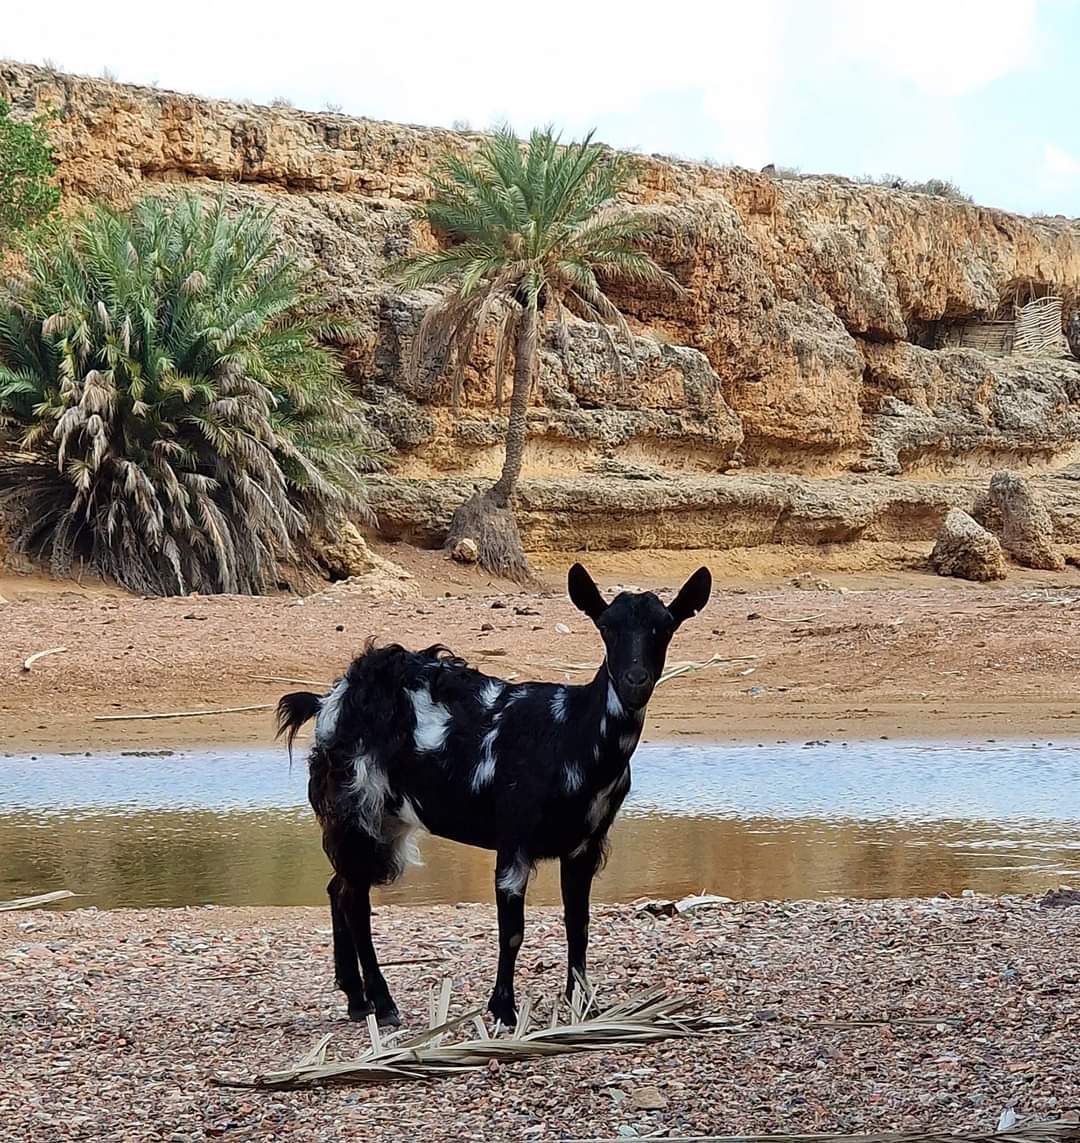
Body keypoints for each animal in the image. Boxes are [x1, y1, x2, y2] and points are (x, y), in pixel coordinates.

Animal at [277, 562, 713, 1028]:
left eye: (665, 626)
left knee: (337, 888)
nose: (635, 682)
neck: (569, 734)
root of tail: (331, 698)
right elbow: (513, 931)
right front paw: (503, 1009)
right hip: (358, 803)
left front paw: (582, 1002)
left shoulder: (585, 844)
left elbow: (578, 922)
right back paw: (384, 1003)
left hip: (379, 819)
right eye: (606, 626)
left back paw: (357, 1000)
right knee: (355, 899)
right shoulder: (514, 837)